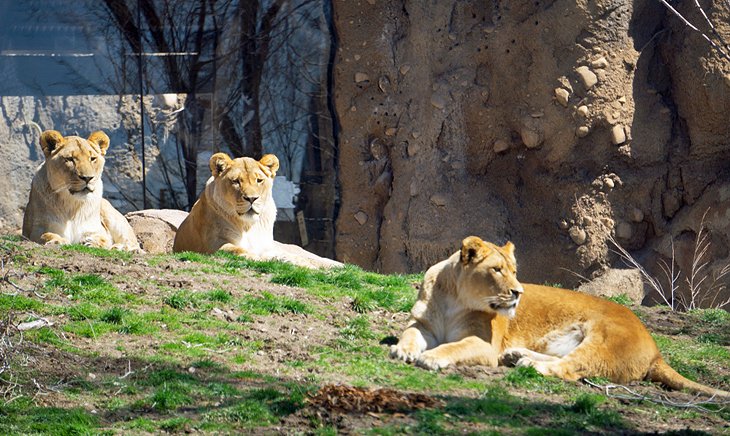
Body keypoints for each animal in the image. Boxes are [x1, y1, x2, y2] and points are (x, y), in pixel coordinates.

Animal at [173, 153, 342, 270]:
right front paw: (262, 260)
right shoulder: (212, 246)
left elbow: (290, 257)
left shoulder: (267, 247)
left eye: (259, 180)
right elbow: (238, 250)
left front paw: (307, 265)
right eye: (236, 181)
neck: (249, 225)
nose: (252, 198)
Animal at [392, 235, 728, 398]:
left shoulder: (485, 345)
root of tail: (656, 350)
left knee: (570, 368)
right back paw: (516, 355)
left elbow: (454, 346)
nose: (518, 292)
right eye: (497, 270)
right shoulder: (422, 324)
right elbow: (409, 333)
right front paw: (402, 351)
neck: (454, 297)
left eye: (515, 271)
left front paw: (432, 357)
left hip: (603, 337)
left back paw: (526, 363)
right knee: (564, 360)